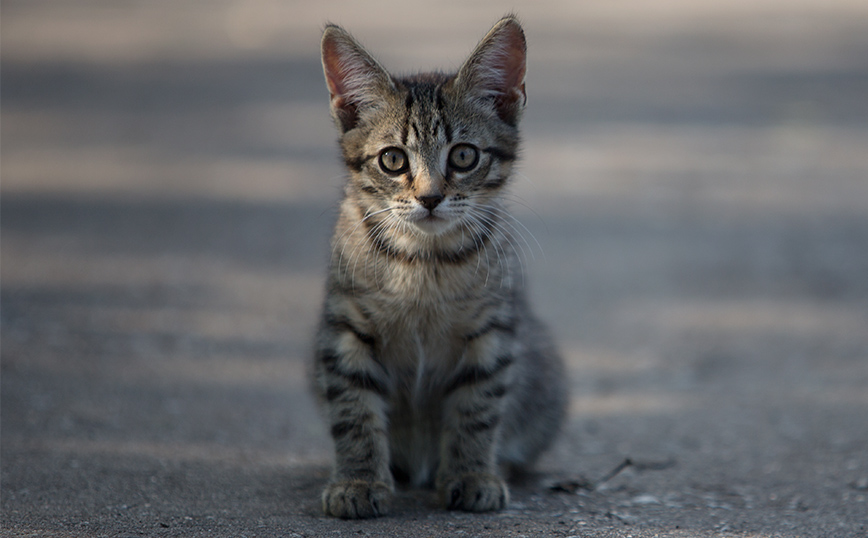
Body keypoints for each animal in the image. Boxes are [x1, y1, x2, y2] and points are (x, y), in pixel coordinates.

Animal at [316, 16, 568, 516]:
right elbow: (353, 409)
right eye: (392, 159)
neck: (423, 261)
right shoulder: (344, 327)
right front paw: (356, 481)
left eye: (464, 155)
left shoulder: (493, 329)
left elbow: (478, 407)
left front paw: (471, 474)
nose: (430, 198)